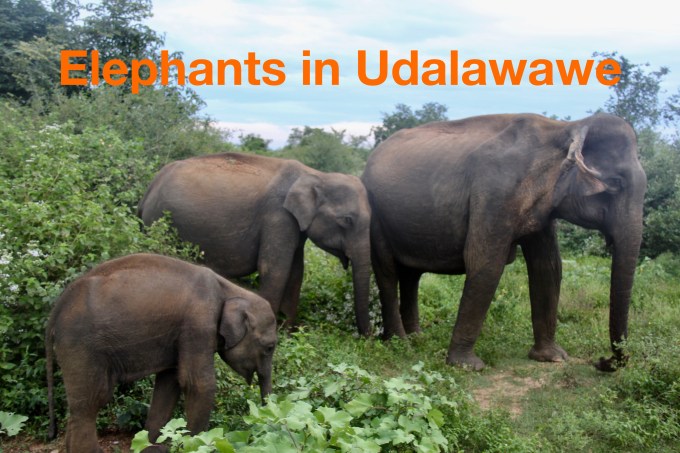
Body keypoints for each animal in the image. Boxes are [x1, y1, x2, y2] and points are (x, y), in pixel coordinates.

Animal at [45, 253, 277, 453]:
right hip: (81, 343)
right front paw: (197, 445)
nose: (265, 421)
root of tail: (55, 311)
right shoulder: (198, 324)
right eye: (269, 348)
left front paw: (152, 448)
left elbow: (169, 383)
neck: (230, 289)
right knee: (92, 400)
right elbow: (198, 384)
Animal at [138, 152, 373, 335]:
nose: (368, 338)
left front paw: (289, 332)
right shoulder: (278, 217)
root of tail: (150, 187)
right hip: (158, 219)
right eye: (347, 220)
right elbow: (275, 269)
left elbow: (296, 272)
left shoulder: (294, 226)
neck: (316, 174)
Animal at [362, 113, 646, 371]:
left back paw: (417, 338)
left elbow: (548, 267)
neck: (565, 128)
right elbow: (485, 262)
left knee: (412, 275)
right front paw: (467, 366)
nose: (603, 361)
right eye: (615, 183)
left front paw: (552, 357)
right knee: (388, 273)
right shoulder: (495, 192)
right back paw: (400, 343)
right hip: (376, 214)